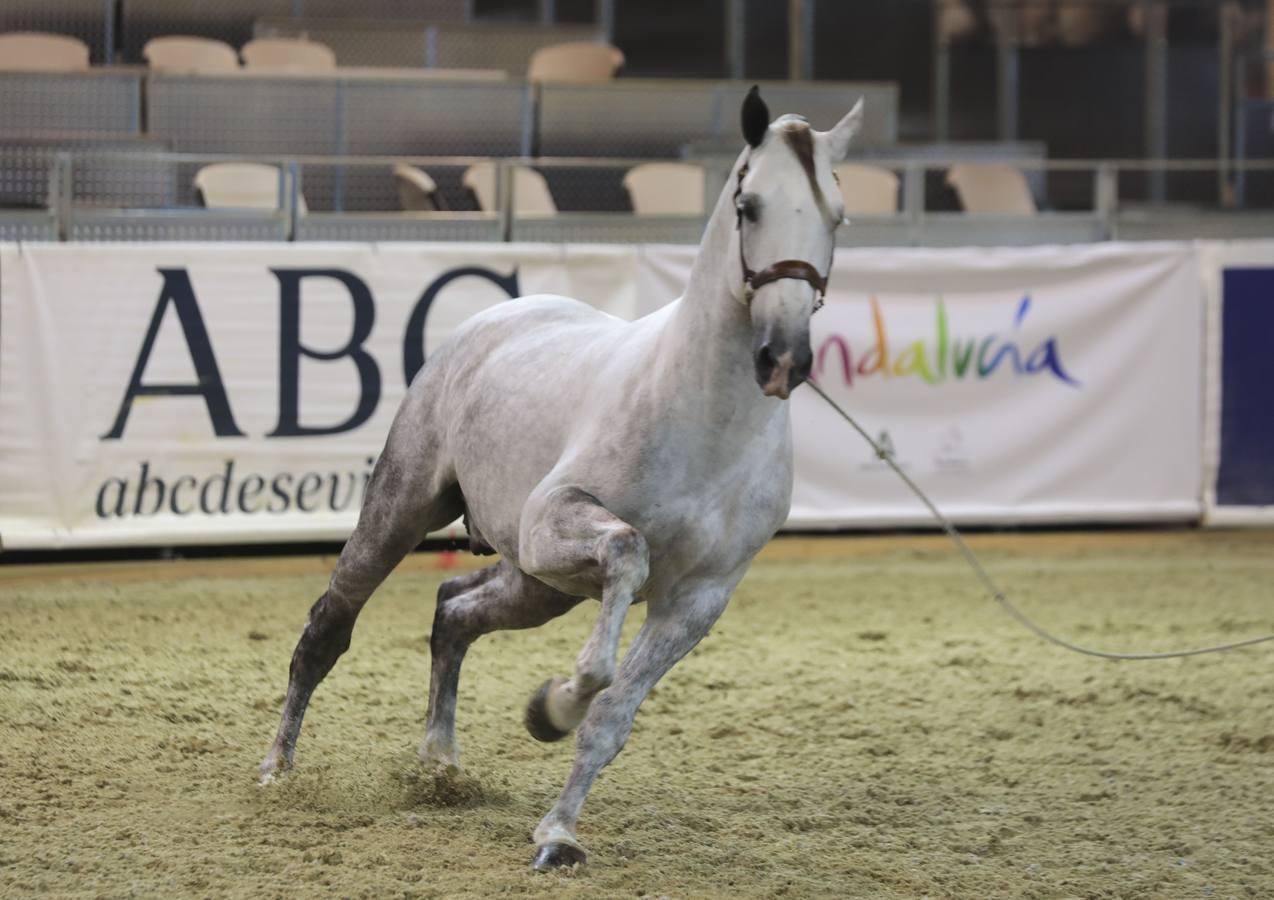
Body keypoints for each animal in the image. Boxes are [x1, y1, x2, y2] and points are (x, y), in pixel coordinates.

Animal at [258, 87, 861, 866]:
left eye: (836, 215)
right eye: (748, 204)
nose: (782, 358)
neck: (706, 424)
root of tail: (498, 316)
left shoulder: (697, 601)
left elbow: (611, 716)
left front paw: (558, 830)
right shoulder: (561, 524)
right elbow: (626, 562)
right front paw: (555, 704)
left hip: (539, 585)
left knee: (454, 611)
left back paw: (440, 764)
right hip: (410, 512)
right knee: (329, 626)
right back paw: (277, 769)